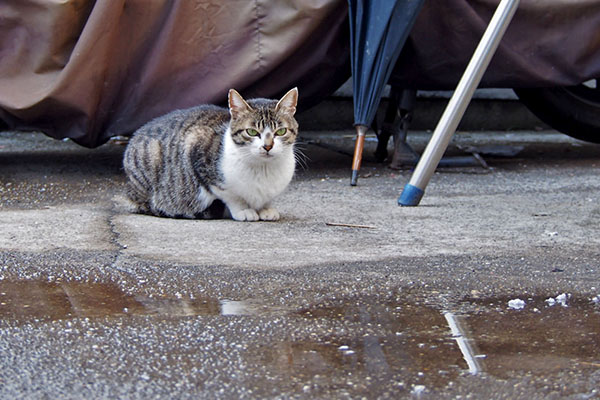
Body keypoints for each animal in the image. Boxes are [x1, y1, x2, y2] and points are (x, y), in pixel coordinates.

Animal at [122, 87, 300, 222]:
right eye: (251, 132)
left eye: (281, 131)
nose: (268, 146)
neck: (263, 169)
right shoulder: (195, 145)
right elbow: (232, 196)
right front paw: (243, 210)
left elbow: (266, 199)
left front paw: (265, 208)